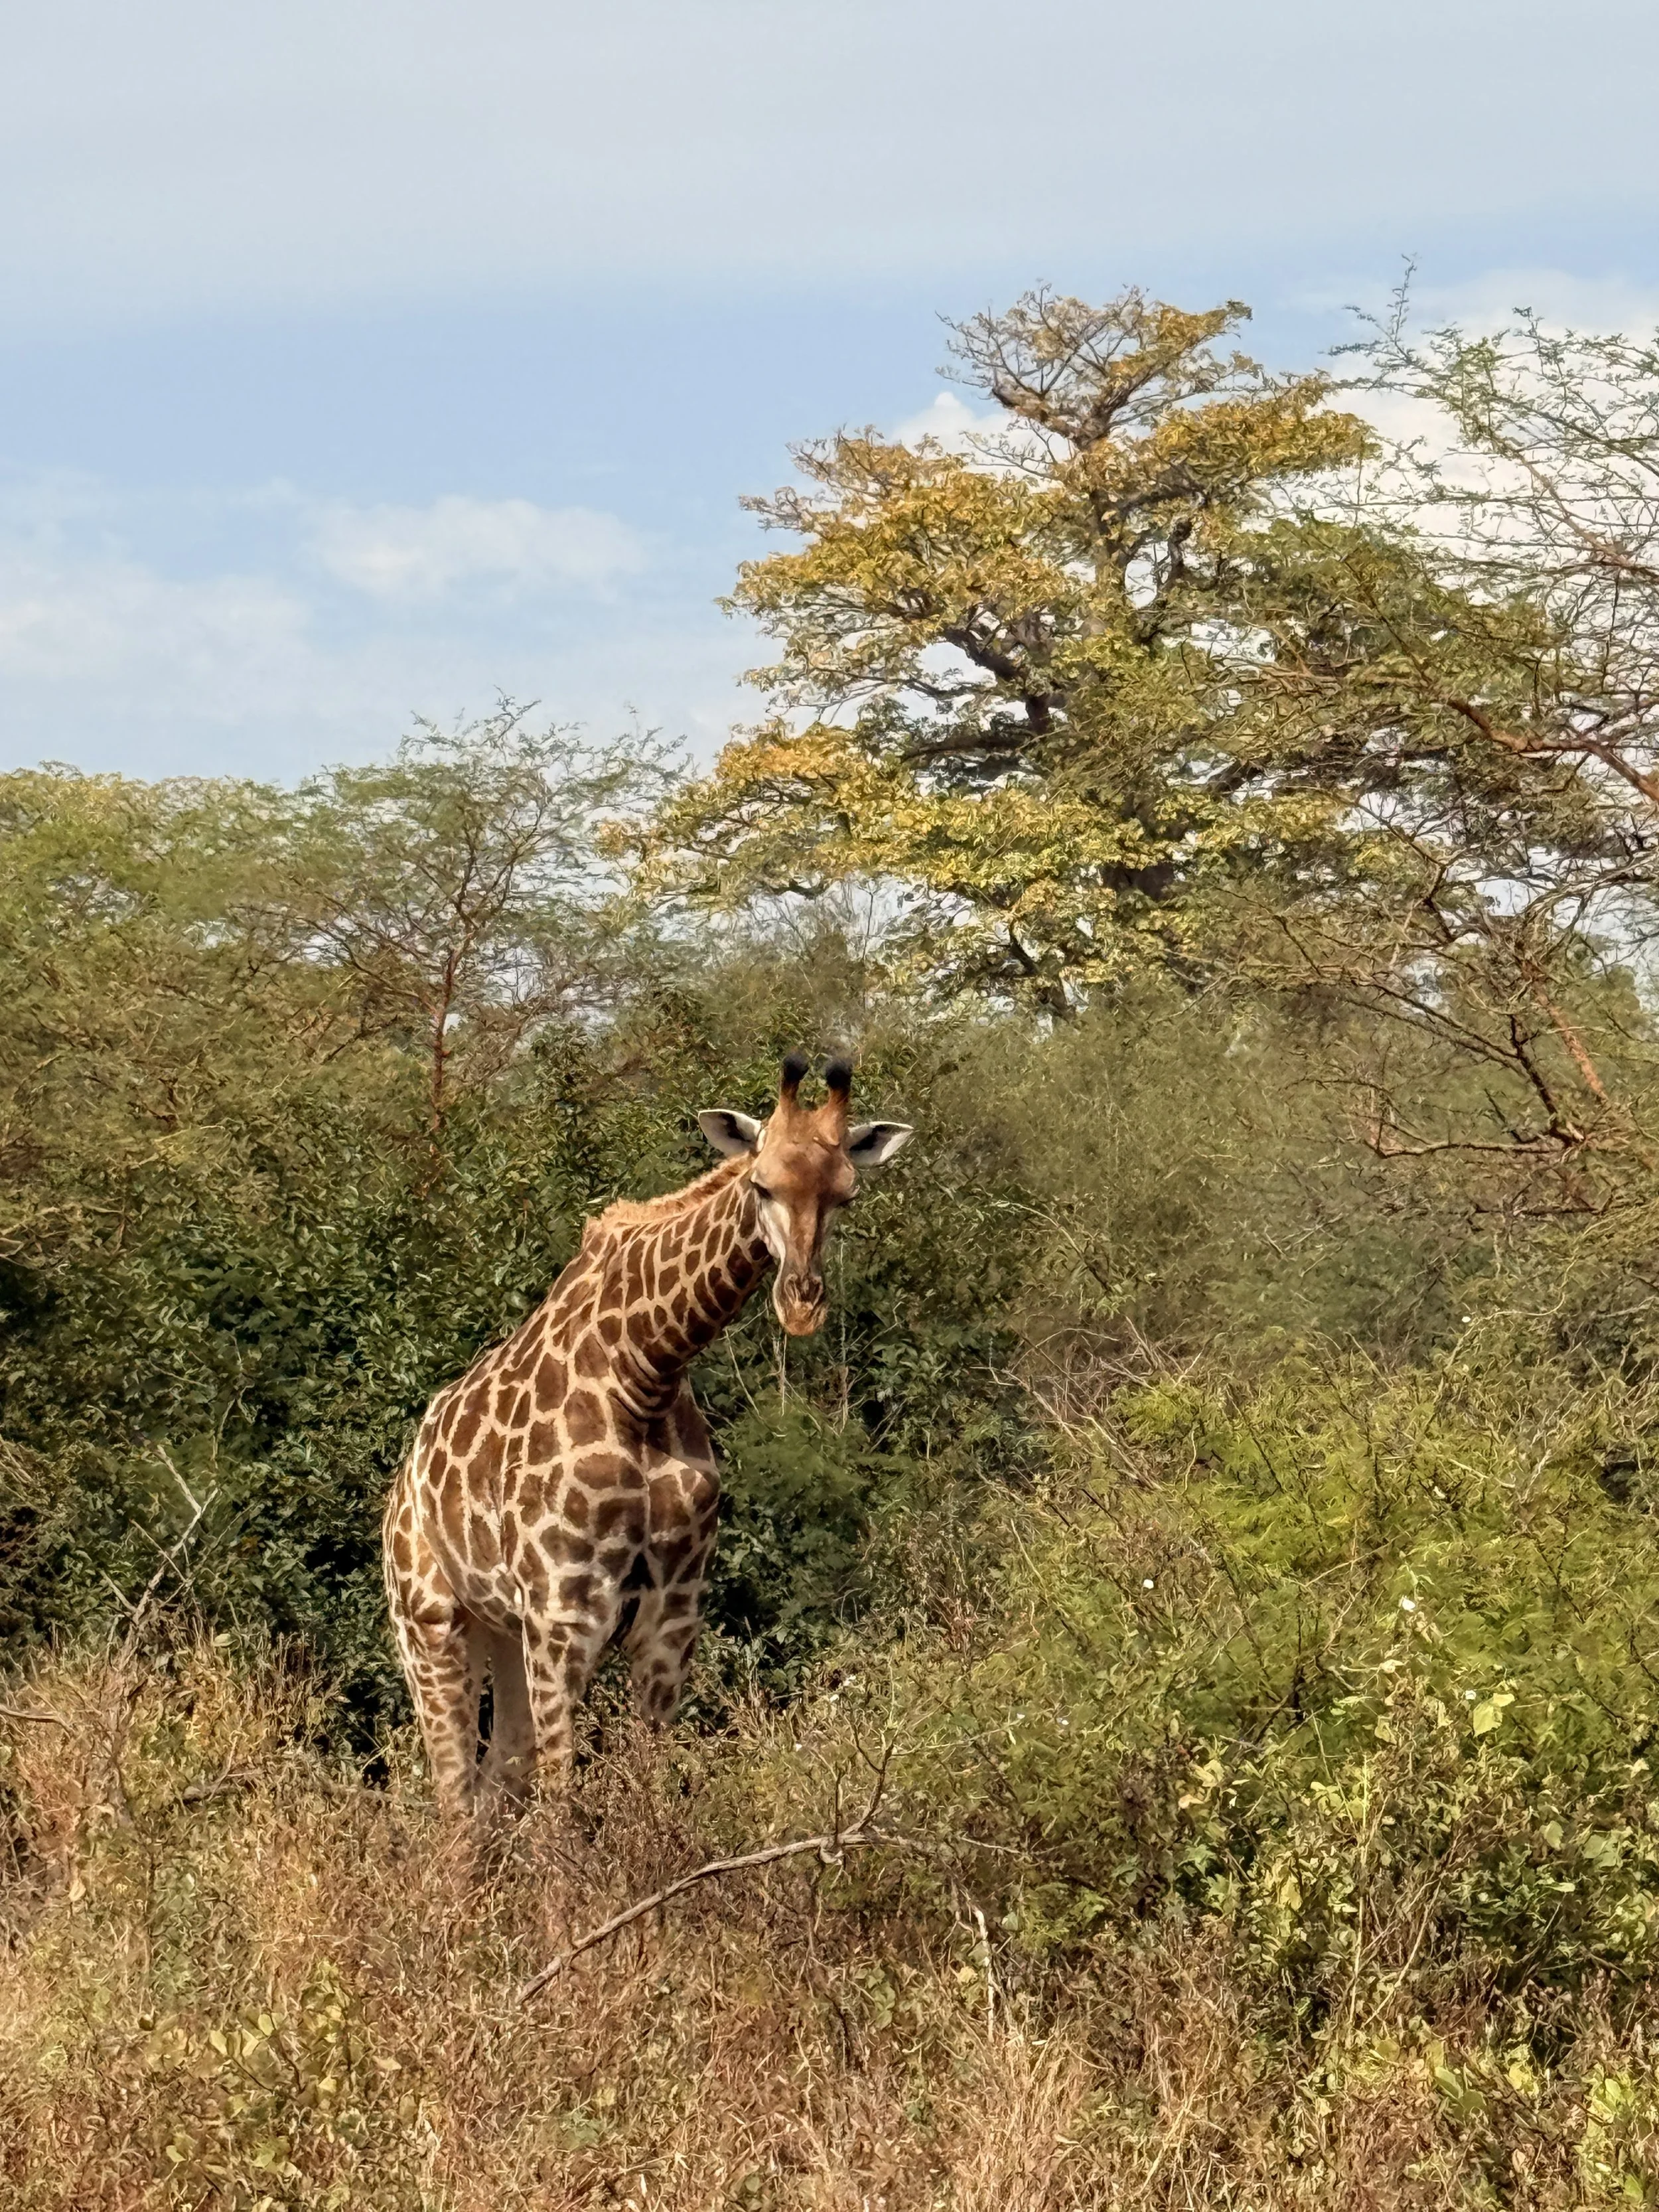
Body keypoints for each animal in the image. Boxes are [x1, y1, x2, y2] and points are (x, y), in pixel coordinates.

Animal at [382, 1053, 912, 1817]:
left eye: (846, 1195)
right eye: (761, 1184)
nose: (801, 1304)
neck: (644, 1373)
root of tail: (401, 1487)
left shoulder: (672, 1614)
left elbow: (648, 1783)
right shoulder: (563, 1613)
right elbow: (563, 1798)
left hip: (501, 1630)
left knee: (493, 1783)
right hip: (428, 1618)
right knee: (455, 1796)